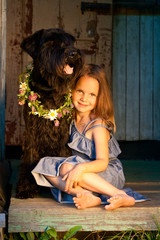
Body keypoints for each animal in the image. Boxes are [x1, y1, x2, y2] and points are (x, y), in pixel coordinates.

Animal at [15, 29, 84, 199]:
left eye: (69, 42)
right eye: (51, 44)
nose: (73, 53)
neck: (49, 89)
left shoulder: (62, 134)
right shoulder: (31, 133)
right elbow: (29, 159)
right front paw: (26, 188)